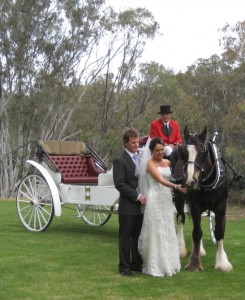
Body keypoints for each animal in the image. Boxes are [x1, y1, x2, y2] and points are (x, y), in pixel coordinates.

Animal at [171, 125, 233, 270]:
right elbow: (197, 232)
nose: (190, 181)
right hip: (179, 198)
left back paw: (200, 249)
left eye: (202, 151)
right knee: (181, 218)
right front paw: (194, 262)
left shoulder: (221, 205)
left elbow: (219, 231)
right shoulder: (195, 205)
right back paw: (181, 248)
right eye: (184, 152)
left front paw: (222, 262)